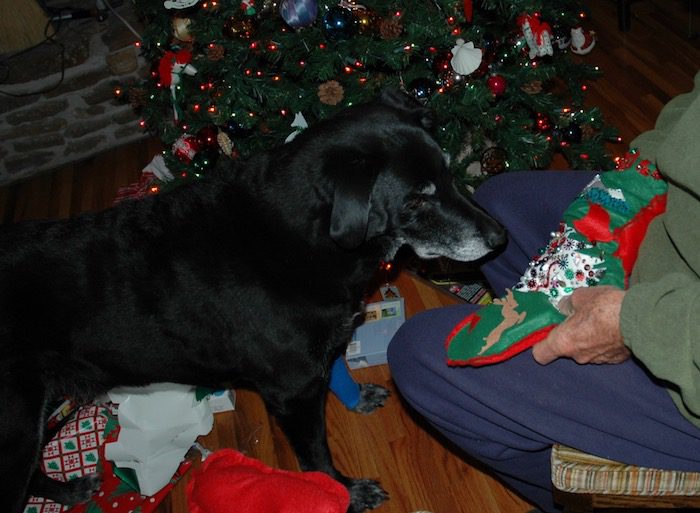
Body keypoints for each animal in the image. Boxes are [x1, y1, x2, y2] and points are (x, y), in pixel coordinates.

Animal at [0, 89, 504, 512]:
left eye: (448, 171)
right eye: (417, 201)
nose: (501, 238)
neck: (307, 237)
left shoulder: (320, 355)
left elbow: (339, 369)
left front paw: (357, 397)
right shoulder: (292, 391)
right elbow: (317, 456)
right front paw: (347, 493)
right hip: (17, 426)